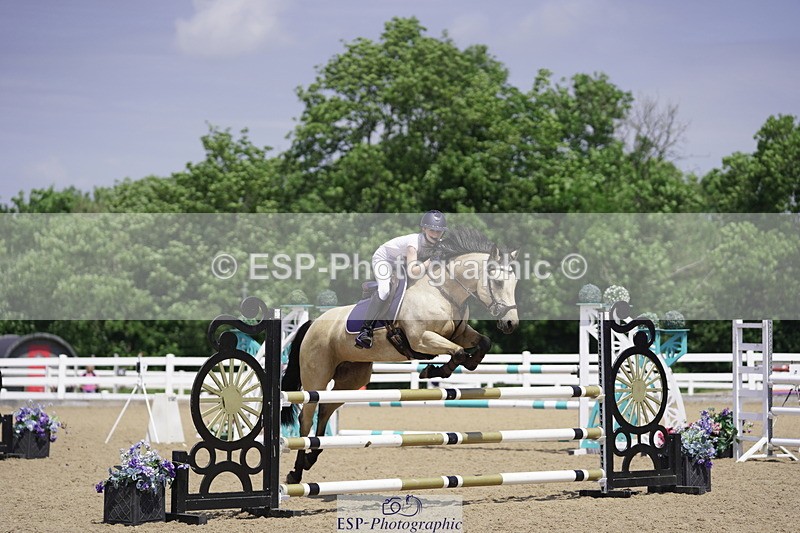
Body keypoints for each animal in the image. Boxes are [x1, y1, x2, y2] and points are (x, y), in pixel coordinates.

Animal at [280, 226, 520, 483]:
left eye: (515, 283)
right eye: (497, 282)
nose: (510, 324)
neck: (443, 293)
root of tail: (313, 323)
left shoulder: (460, 333)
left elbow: (482, 342)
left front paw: (469, 364)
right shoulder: (421, 339)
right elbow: (456, 353)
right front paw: (433, 371)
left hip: (352, 378)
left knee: (325, 410)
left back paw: (310, 458)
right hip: (316, 376)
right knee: (306, 417)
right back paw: (295, 472)